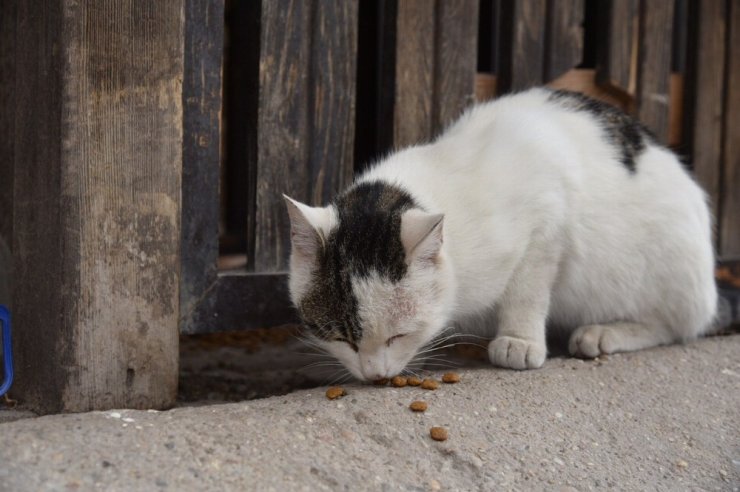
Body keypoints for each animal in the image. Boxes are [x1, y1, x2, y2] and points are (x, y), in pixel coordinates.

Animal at [284, 88, 716, 380]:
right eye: (341, 338)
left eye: (398, 335)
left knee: (675, 326)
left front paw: (519, 340)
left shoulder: (548, 217)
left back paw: (605, 333)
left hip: (666, 267)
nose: (375, 375)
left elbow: (527, 289)